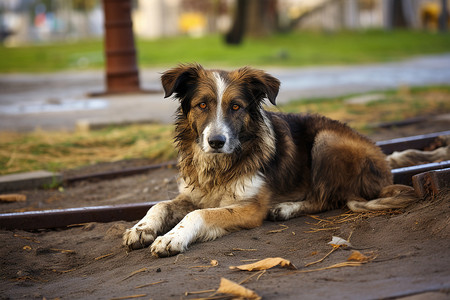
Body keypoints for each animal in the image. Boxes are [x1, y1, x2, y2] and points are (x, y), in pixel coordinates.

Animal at [122, 64, 446, 256]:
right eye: (202, 105)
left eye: (236, 107)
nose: (216, 142)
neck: (220, 166)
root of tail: (384, 164)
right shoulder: (190, 194)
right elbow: (160, 204)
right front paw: (141, 229)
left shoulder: (250, 207)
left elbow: (199, 215)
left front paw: (171, 238)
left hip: (326, 140)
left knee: (326, 199)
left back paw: (287, 208)